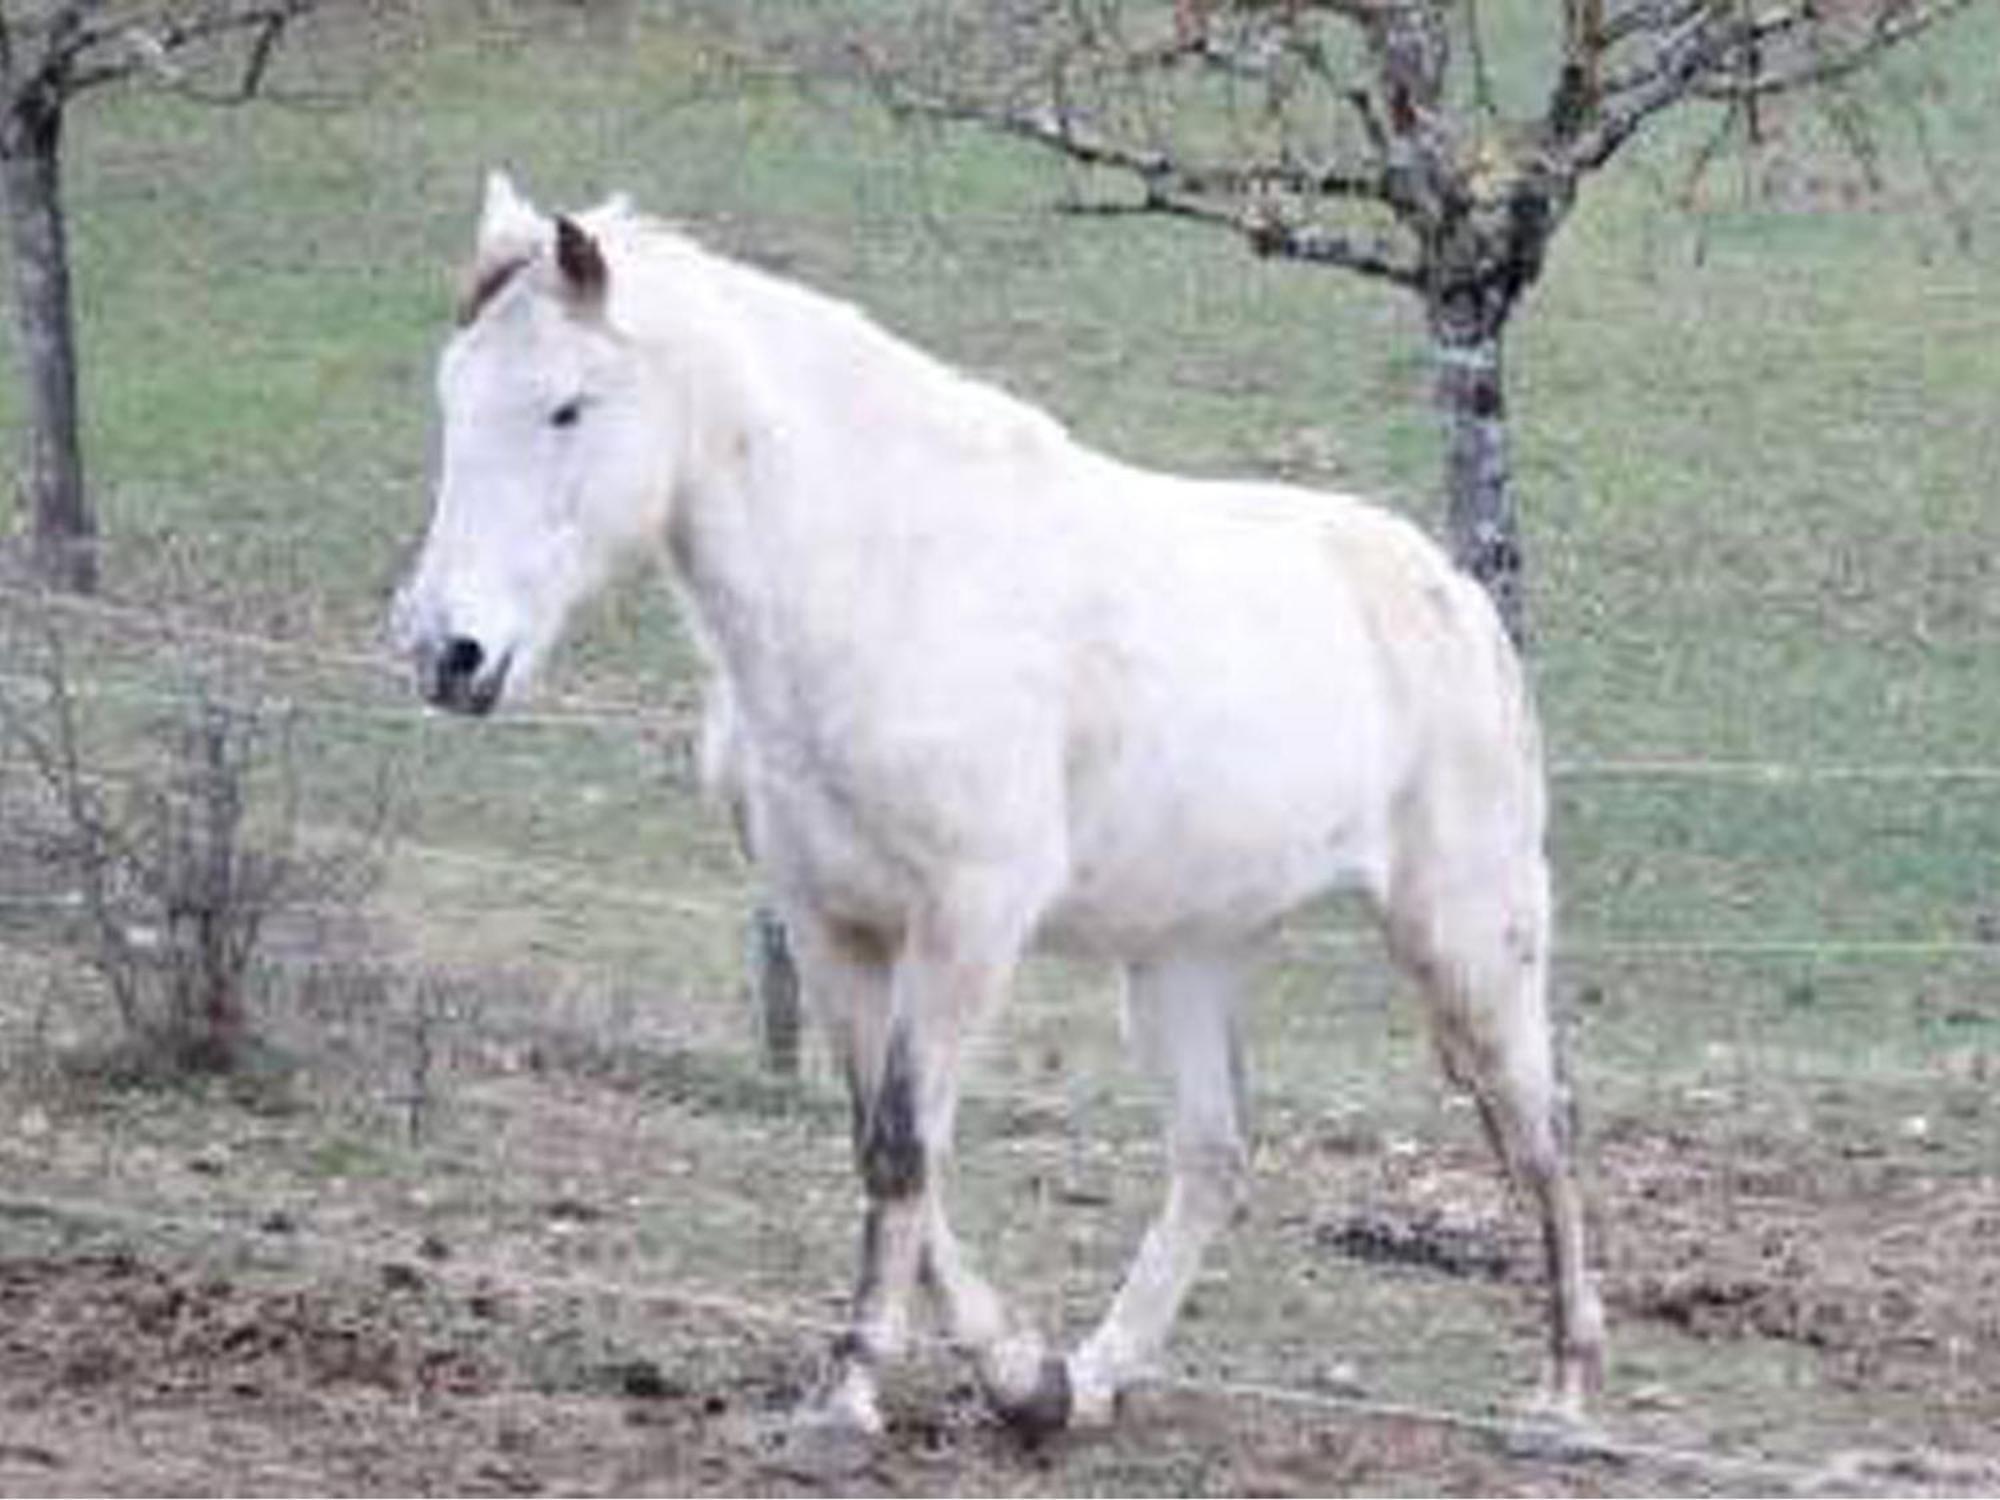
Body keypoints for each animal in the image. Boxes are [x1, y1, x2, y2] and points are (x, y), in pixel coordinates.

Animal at [398, 170, 1600, 1440]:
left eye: (566, 409)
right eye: (452, 396)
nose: (447, 653)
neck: (881, 579)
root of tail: (1455, 596)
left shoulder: (968, 919)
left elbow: (898, 1146)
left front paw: (847, 1405)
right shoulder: (828, 922)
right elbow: (884, 1143)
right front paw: (1017, 1374)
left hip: (1464, 936)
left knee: (1540, 1131)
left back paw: (1562, 1396)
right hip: (1182, 956)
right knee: (1213, 1155)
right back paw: (1097, 1377)